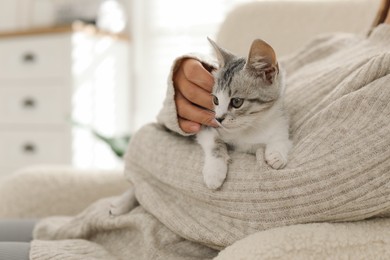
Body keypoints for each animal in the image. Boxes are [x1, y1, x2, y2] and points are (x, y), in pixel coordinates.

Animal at [198, 38, 292, 189]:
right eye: (215, 100)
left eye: (236, 102)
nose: (218, 118)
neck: (251, 126)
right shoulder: (206, 125)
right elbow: (214, 141)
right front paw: (214, 172)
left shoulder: (281, 118)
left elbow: (282, 138)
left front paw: (277, 154)